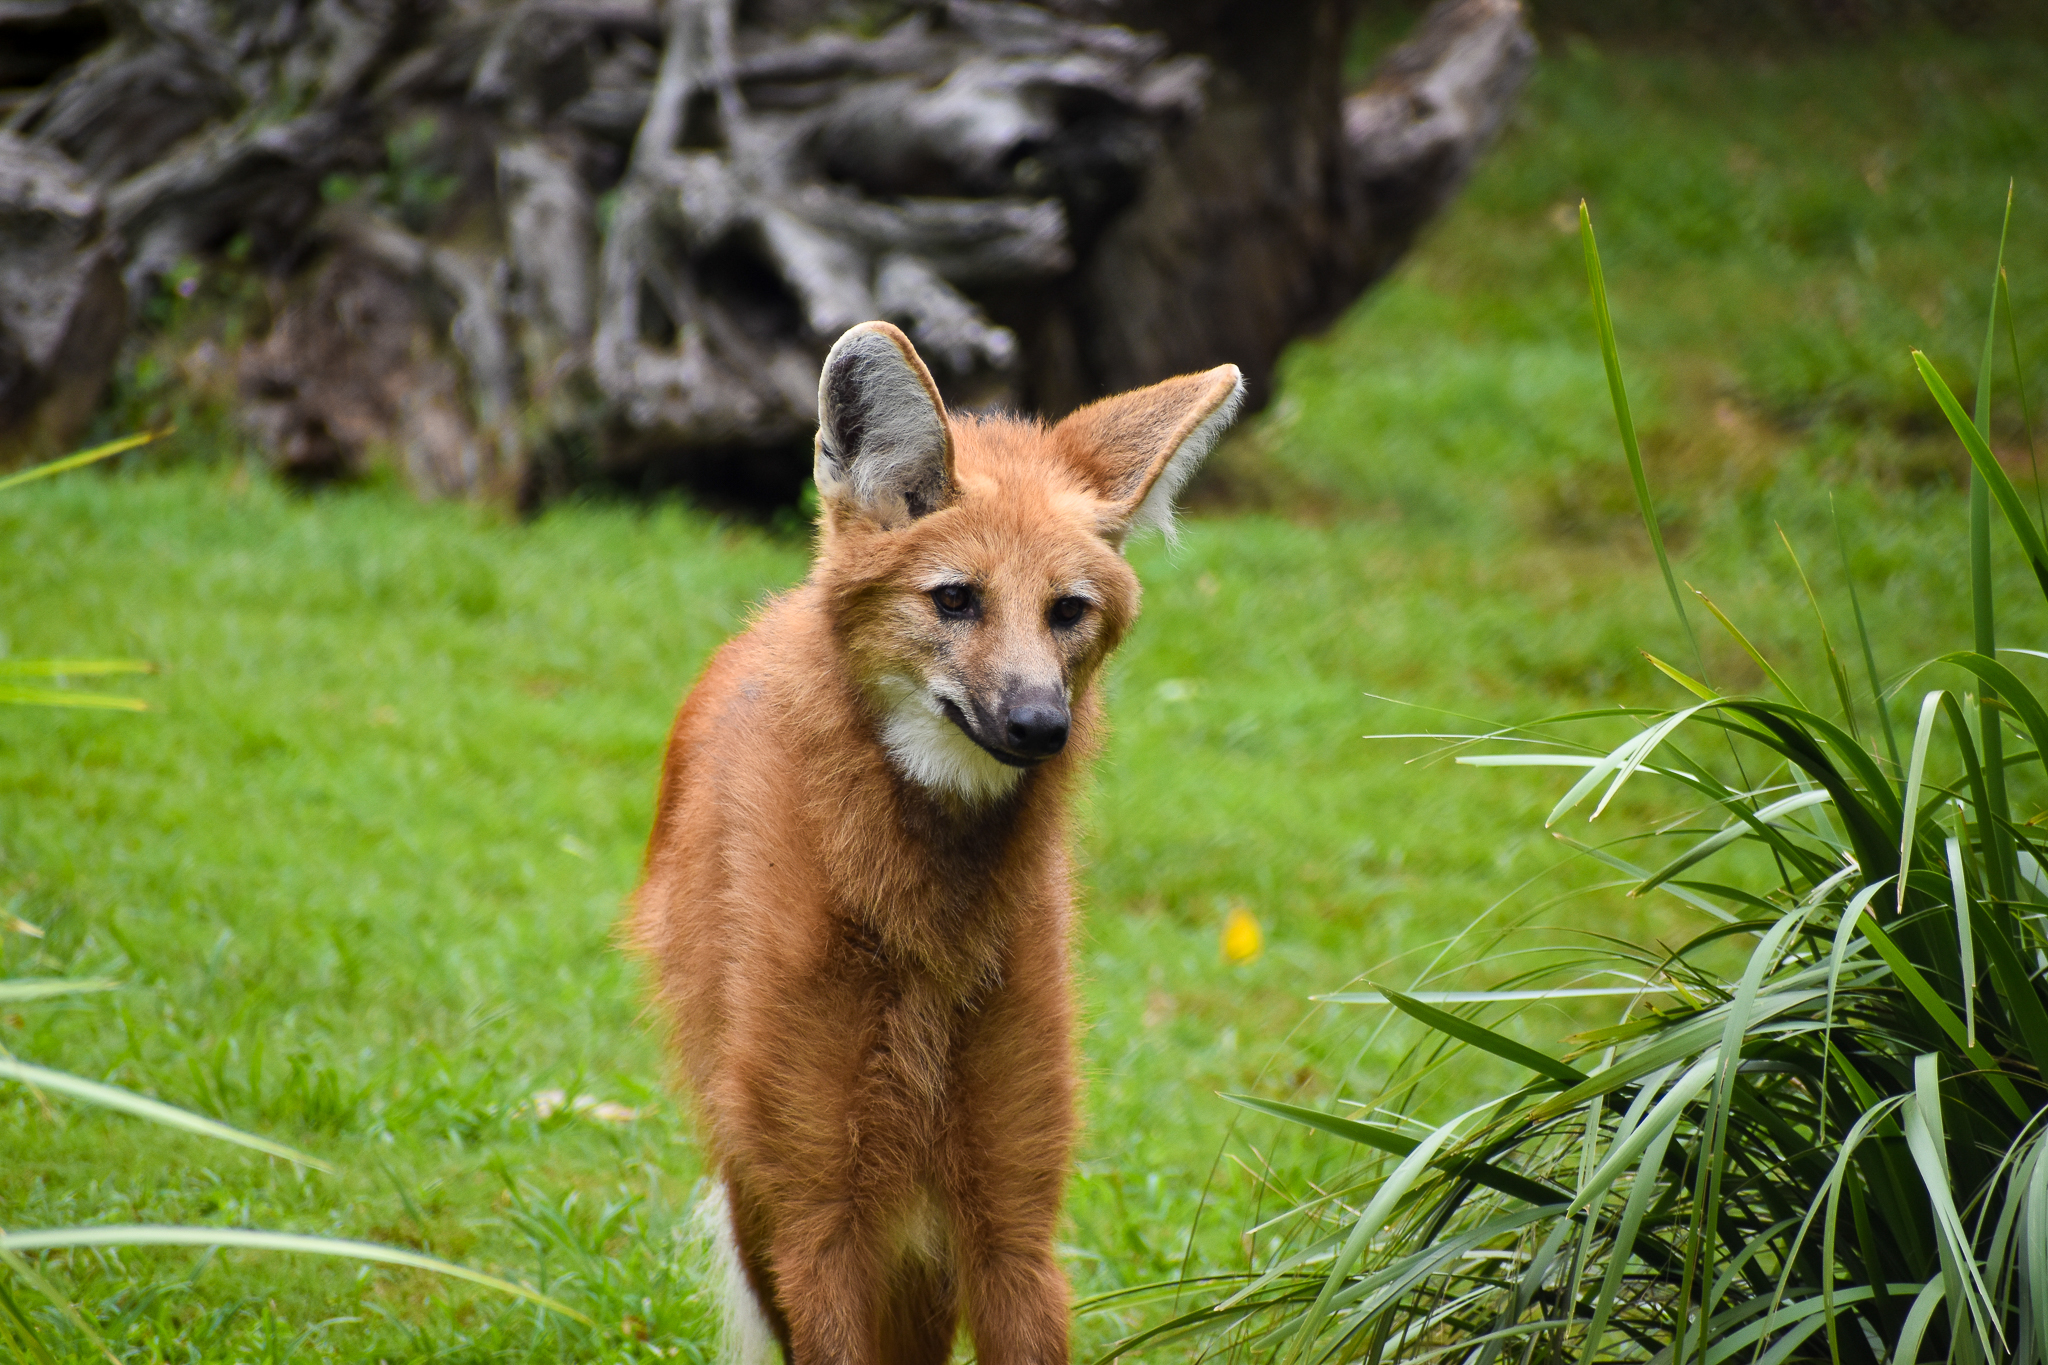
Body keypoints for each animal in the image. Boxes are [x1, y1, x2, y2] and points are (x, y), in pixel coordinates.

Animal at [631, 320, 1242, 1364]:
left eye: (1067, 610)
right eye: (956, 598)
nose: (1041, 723)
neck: (924, 916)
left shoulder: (1011, 1210)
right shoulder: (821, 1208)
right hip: (764, 1168)